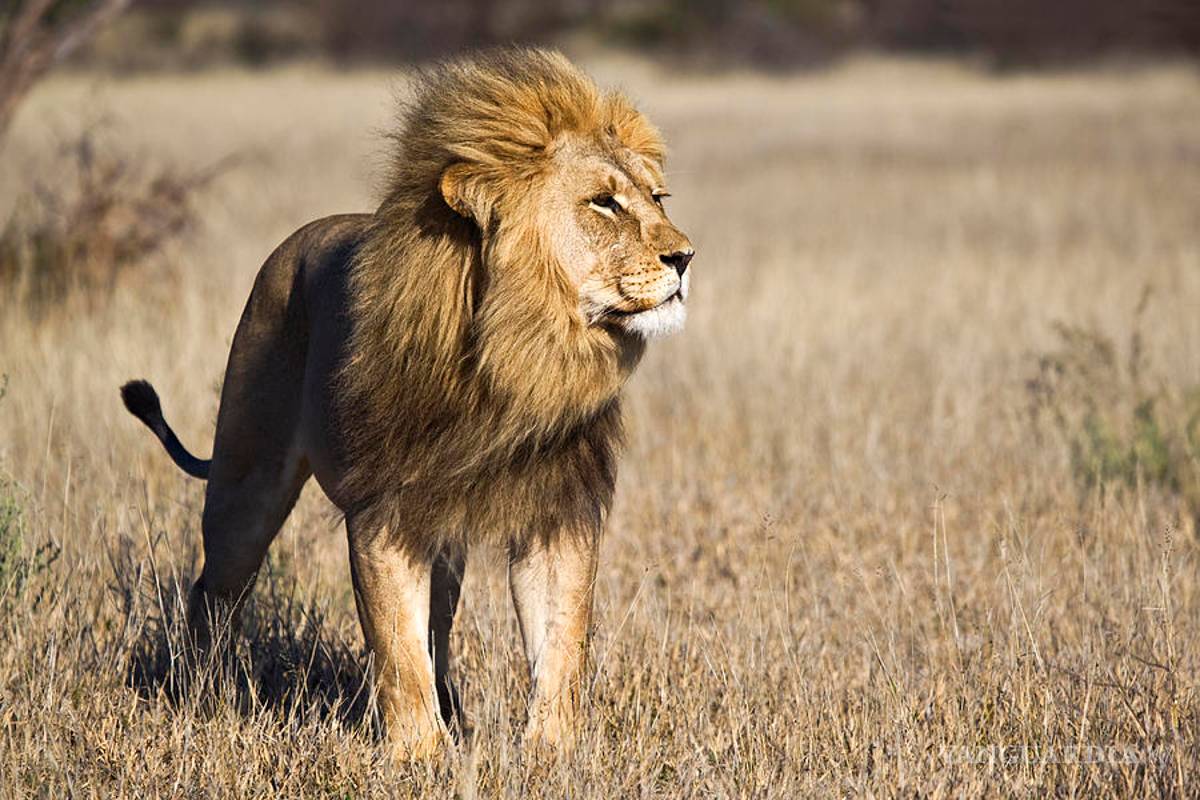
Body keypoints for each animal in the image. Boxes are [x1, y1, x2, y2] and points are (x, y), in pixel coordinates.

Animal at [120, 48, 693, 759]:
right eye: (604, 203)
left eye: (656, 197)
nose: (685, 257)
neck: (517, 358)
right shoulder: (382, 511)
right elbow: (396, 645)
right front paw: (420, 755)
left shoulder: (556, 509)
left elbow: (562, 644)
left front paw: (551, 755)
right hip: (244, 487)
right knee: (213, 591)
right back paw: (200, 693)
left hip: (439, 534)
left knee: (439, 626)